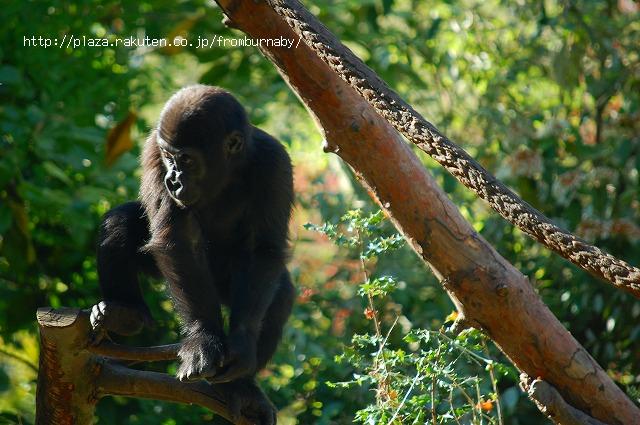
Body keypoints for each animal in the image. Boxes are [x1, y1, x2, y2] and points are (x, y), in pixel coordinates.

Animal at [92, 84, 296, 422]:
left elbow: (263, 250)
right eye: (168, 157)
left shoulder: (275, 163)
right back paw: (124, 312)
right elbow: (176, 241)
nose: (172, 180)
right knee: (121, 222)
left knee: (279, 295)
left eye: (187, 160)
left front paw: (241, 346)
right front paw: (203, 338)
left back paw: (241, 387)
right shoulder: (153, 150)